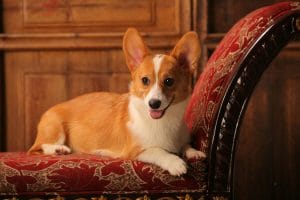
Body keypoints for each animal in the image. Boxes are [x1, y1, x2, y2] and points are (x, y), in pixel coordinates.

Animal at [28, 28, 205, 177]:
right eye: (145, 80)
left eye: (169, 81)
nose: (153, 103)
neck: (163, 122)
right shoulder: (136, 151)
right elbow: (159, 151)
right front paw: (175, 163)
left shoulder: (181, 138)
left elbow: (185, 145)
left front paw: (194, 152)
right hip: (55, 128)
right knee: (37, 148)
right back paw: (59, 149)